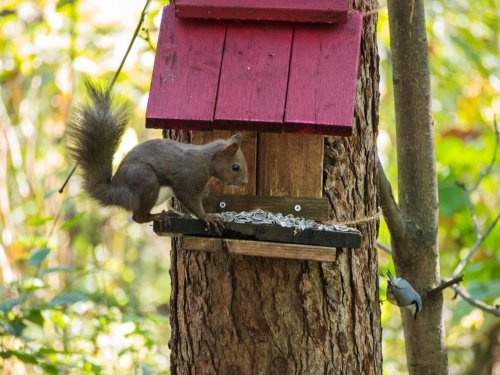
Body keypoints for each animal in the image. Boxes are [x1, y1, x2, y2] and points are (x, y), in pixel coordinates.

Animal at [67, 83, 247, 232]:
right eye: (235, 167)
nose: (245, 183)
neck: (206, 160)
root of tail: (117, 192)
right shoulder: (187, 180)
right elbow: (190, 201)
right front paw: (207, 217)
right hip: (146, 180)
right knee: (138, 217)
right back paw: (160, 216)